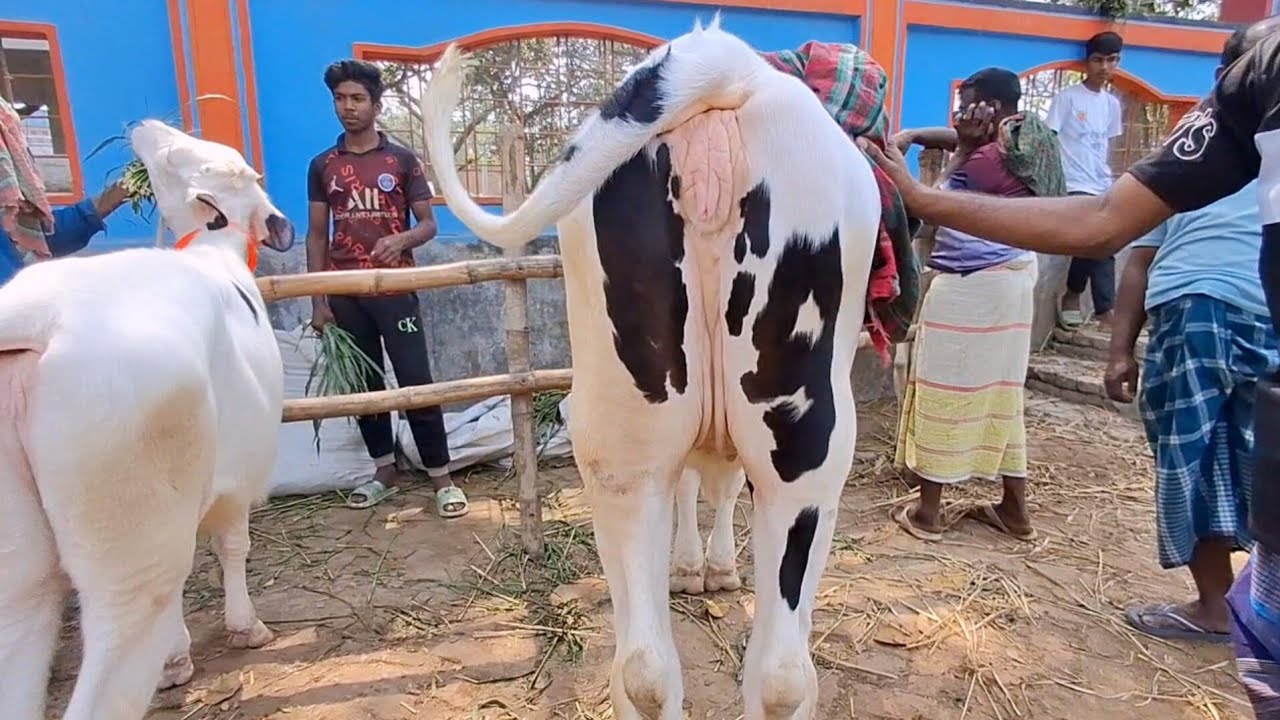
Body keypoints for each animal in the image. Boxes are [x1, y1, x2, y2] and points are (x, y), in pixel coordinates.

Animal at [0, 119, 293, 720]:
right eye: (212, 159)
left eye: (195, 155)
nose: (146, 126)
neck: (212, 251)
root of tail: (38, 317)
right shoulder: (239, 475)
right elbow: (232, 548)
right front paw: (243, 628)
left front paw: (179, 653)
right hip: (132, 547)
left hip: (19, 568)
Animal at [420, 18, 879, 720]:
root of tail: (723, 60)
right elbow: (709, 489)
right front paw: (706, 568)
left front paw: (699, 567)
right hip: (803, 450)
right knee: (773, 668)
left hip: (637, 441)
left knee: (658, 667)